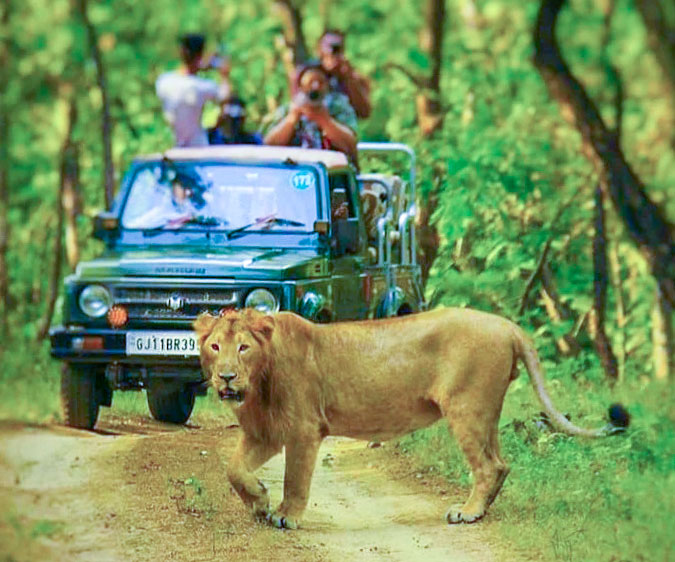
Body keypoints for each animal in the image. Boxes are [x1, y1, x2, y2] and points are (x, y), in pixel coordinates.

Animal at [194, 307, 620, 530]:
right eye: (215, 346)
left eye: (243, 348)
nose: (226, 377)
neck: (258, 383)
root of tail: (506, 325)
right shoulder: (264, 432)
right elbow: (234, 470)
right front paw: (259, 501)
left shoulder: (303, 429)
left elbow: (295, 478)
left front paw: (285, 515)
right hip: (485, 412)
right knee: (501, 463)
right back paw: (481, 509)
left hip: (467, 407)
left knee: (487, 465)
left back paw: (468, 512)